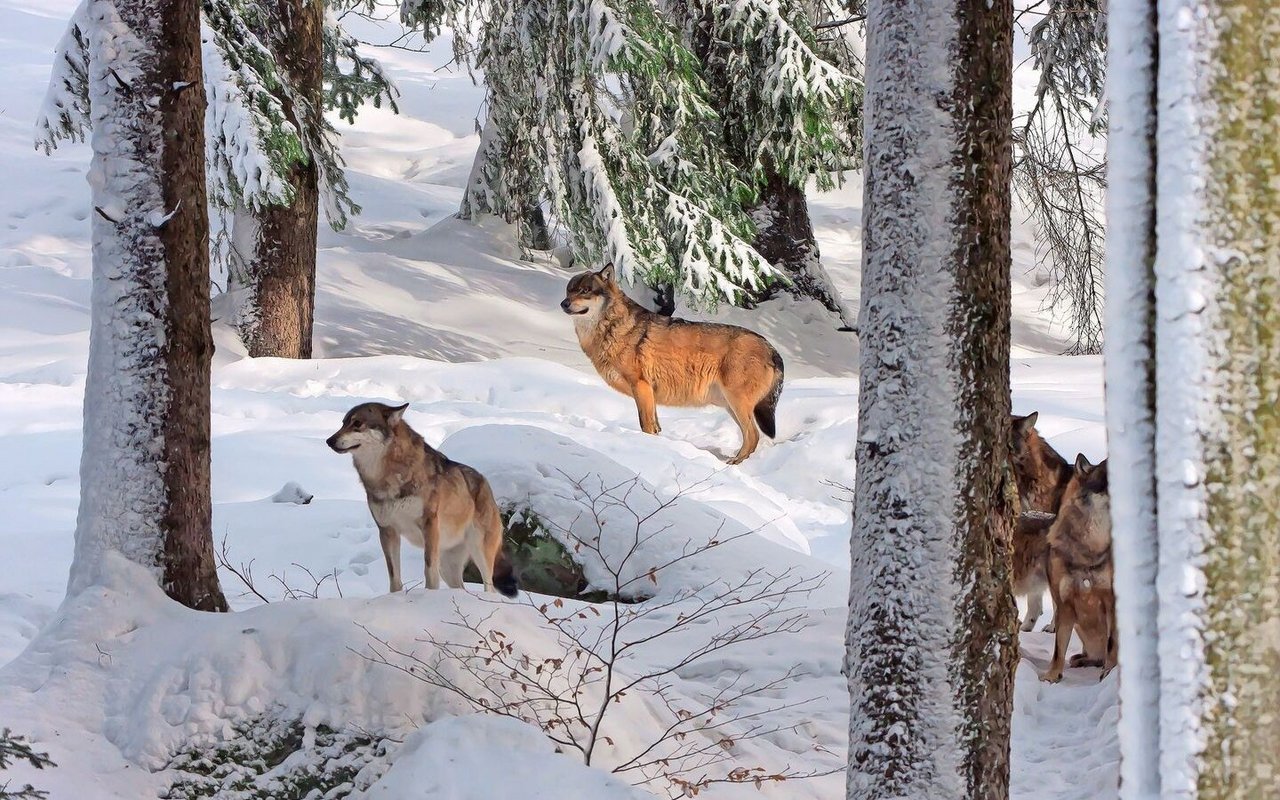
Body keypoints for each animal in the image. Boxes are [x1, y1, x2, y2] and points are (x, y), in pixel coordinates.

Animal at [327, 401, 522, 596]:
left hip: (479, 553)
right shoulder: (387, 531)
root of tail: (486, 483)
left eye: (357, 423)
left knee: (490, 587)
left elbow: (428, 570)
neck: (389, 475)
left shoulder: (429, 524)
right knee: (461, 587)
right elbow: (394, 576)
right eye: (343, 423)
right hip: (447, 567)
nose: (329, 441)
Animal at [558, 263, 778, 460]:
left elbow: (645, 425)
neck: (612, 326)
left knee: (753, 435)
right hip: (730, 405)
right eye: (569, 291)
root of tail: (771, 349)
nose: (563, 303)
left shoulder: (641, 387)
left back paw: (734, 463)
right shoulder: (649, 394)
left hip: (736, 402)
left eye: (585, 291)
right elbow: (655, 427)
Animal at [1044, 455, 1116, 680]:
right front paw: (1052, 676)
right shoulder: (1063, 605)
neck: (1087, 552)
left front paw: (1108, 673)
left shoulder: (1110, 601)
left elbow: (1112, 644)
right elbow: (1058, 649)